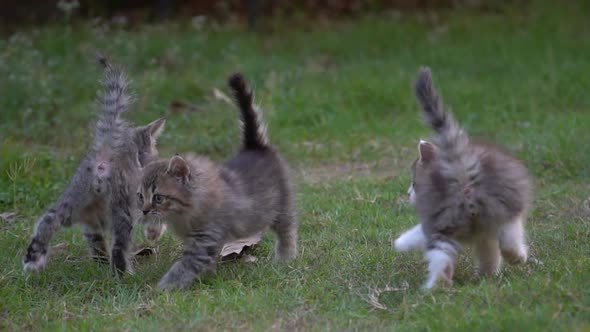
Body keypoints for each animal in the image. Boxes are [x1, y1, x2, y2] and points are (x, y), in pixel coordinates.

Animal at [23, 56, 166, 274]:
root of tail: (102, 158)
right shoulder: (146, 200)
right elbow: (156, 215)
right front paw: (154, 233)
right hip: (123, 209)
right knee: (119, 246)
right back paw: (123, 274)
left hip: (74, 202)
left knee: (50, 219)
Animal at [137, 73, 298, 290]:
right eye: (140, 196)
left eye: (158, 198)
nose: (144, 211)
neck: (182, 214)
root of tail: (255, 146)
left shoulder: (204, 239)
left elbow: (184, 266)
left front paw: (163, 288)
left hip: (281, 204)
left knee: (288, 227)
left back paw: (286, 256)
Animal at [396, 68, 536, 290]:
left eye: (414, 184)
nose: (408, 193)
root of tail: (461, 170)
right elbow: (494, 249)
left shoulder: (477, 232)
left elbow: (489, 254)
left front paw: (488, 274)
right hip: (504, 206)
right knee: (510, 237)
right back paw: (517, 257)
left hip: (445, 221)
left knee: (441, 258)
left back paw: (436, 288)